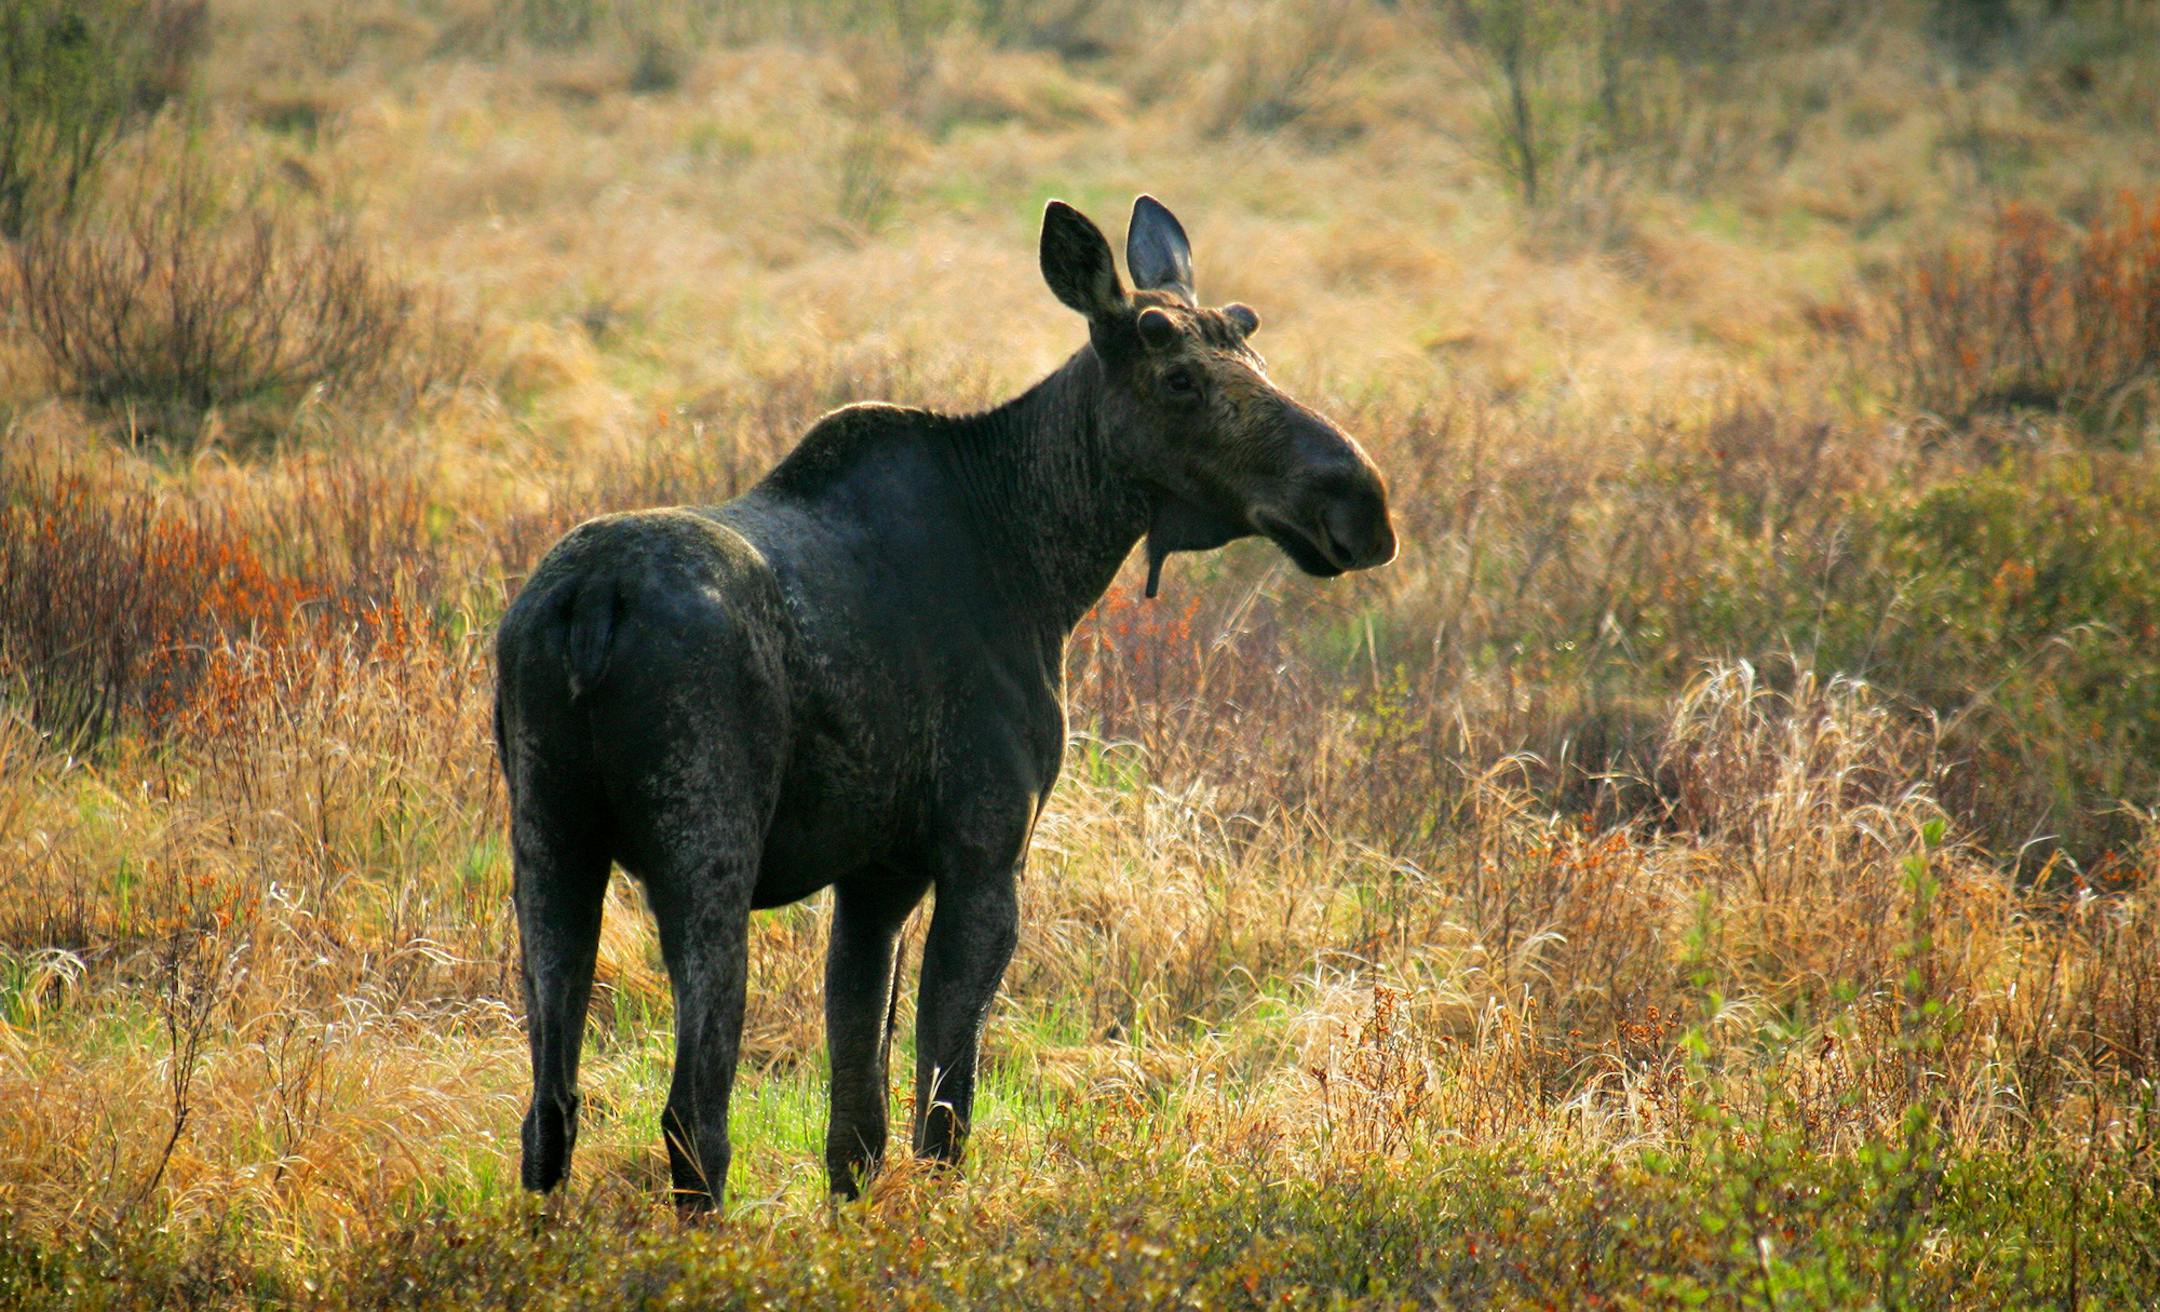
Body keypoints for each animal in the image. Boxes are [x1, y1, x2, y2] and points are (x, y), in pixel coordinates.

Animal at [493, 195, 1396, 1211]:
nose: (1362, 501)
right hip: (704, 849)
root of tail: (588, 605)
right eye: (1177, 378)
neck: (1047, 568)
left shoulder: (875, 877)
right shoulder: (983, 853)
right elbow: (944, 1115)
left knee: (548, 1111)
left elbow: (855, 1126)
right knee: (693, 1115)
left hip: (548, 843)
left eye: (1246, 336)